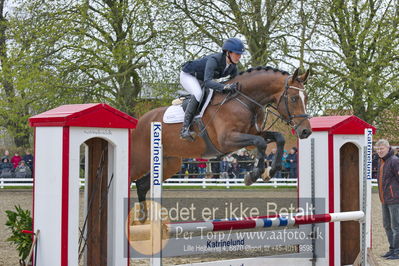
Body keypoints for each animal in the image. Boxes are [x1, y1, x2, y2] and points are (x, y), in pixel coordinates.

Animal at [131, 67, 312, 219]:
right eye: (294, 98)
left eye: (306, 98)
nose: (306, 131)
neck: (243, 100)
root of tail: (140, 121)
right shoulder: (227, 140)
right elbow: (260, 143)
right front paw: (253, 175)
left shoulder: (252, 135)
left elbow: (278, 138)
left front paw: (269, 172)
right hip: (141, 160)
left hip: (171, 163)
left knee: (142, 185)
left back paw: (143, 219)